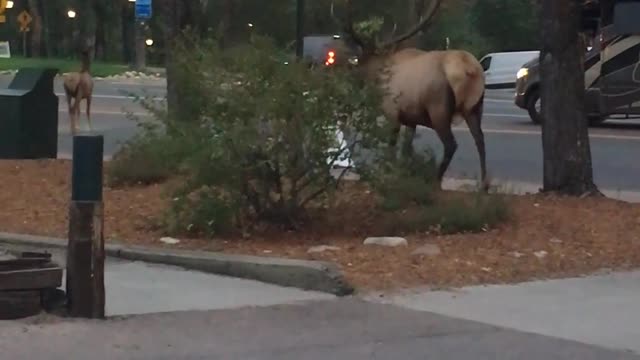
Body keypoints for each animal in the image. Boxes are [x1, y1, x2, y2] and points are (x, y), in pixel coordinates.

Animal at [332, 0, 488, 191]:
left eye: (357, 62)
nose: (350, 81)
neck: (378, 75)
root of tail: (470, 69)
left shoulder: (392, 112)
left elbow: (392, 145)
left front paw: (389, 172)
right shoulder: (412, 119)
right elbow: (406, 148)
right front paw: (403, 172)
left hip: (438, 107)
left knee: (451, 144)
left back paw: (435, 180)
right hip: (475, 107)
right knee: (480, 139)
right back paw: (484, 184)